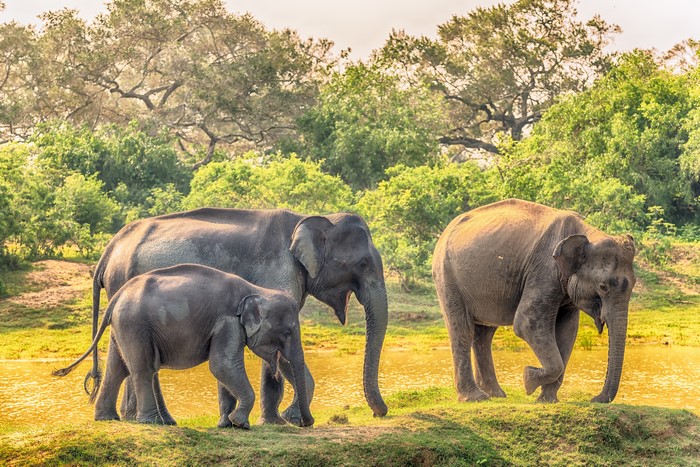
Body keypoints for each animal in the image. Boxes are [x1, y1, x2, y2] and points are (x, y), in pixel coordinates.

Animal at [54, 264, 314, 429]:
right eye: (287, 332)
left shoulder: (227, 326)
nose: (306, 423)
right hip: (135, 325)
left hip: (124, 327)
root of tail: (118, 294)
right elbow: (222, 366)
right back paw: (152, 423)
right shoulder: (228, 322)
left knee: (118, 369)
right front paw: (240, 423)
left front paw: (228, 425)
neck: (256, 290)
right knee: (143, 369)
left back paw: (108, 419)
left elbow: (224, 370)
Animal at [86, 208, 388, 426]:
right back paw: (155, 421)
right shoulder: (278, 271)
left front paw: (279, 420)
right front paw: (279, 422)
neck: (309, 217)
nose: (379, 413)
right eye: (363, 264)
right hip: (125, 285)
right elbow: (277, 352)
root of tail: (109, 249)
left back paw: (132, 418)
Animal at [432, 199, 636, 404]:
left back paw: (496, 394)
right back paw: (476, 398)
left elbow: (567, 331)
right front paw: (528, 379)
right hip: (447, 276)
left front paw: (547, 399)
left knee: (484, 335)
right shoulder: (544, 270)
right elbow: (527, 323)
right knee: (462, 330)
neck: (586, 232)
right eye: (603, 286)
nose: (594, 399)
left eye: (634, 284)